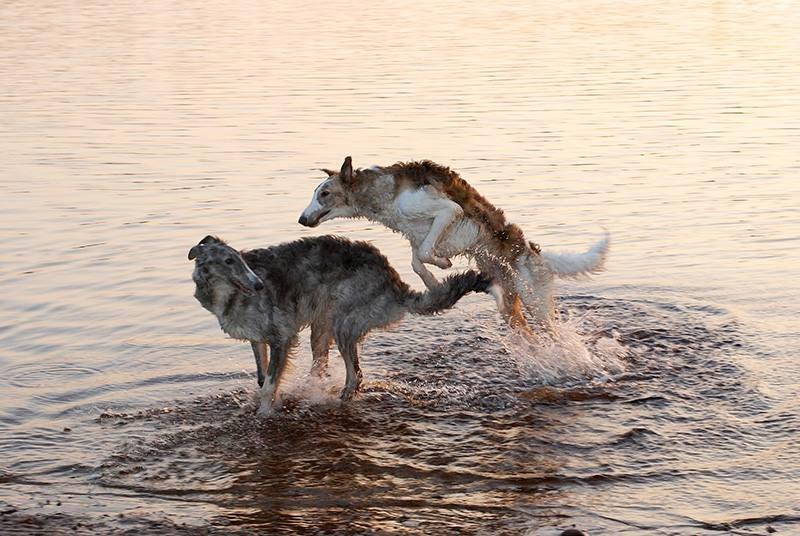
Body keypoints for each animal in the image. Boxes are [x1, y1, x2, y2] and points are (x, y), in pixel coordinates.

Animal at [298, 157, 608, 336]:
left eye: (325, 193)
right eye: (316, 193)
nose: (301, 219)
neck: (384, 194)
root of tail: (534, 253)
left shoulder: (448, 211)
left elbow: (425, 253)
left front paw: (442, 267)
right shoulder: (419, 235)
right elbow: (417, 260)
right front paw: (435, 282)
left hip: (536, 303)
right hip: (510, 306)